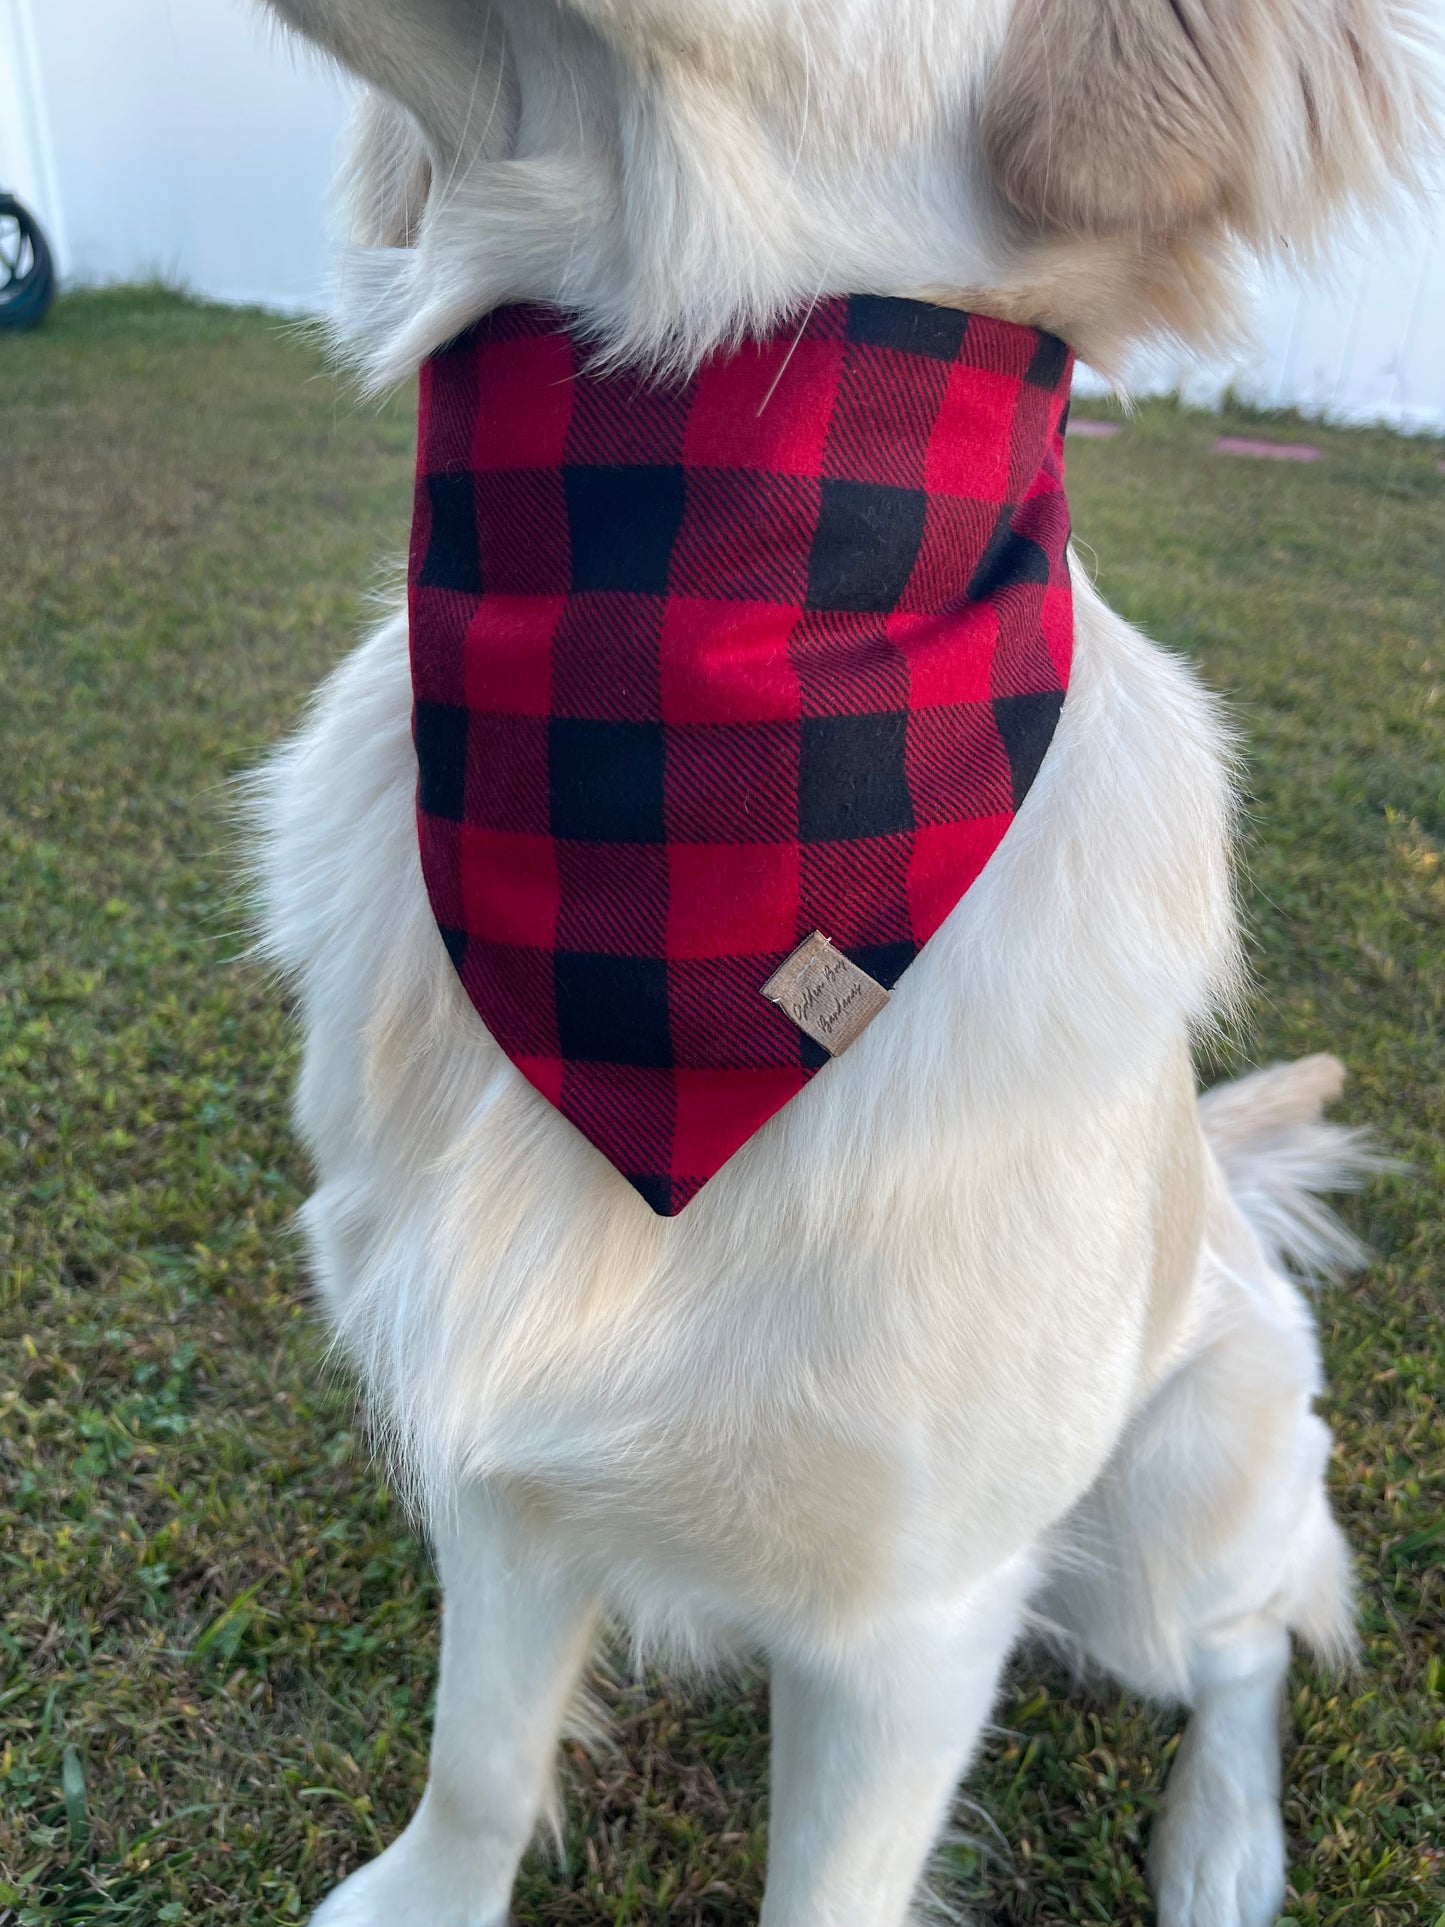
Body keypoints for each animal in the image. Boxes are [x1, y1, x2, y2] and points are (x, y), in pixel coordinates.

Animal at [248, 7, 1441, 1919]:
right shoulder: (506, 1447)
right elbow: (481, 1753)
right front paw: (422, 1894)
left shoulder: (915, 1612)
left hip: (1167, 1504)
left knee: (1254, 1632)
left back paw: (1223, 1839)